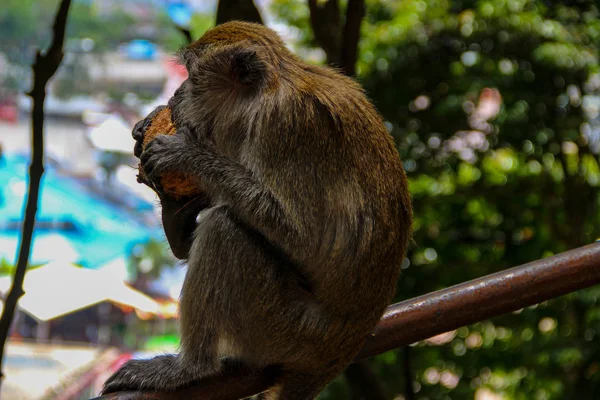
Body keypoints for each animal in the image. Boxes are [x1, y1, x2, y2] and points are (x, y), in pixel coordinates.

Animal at [103, 21, 412, 400]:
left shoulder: (284, 126)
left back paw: (189, 368)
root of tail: (335, 353)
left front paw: (188, 155)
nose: (176, 93)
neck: (266, 91)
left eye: (190, 74)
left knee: (223, 231)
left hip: (281, 329)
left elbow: (302, 237)